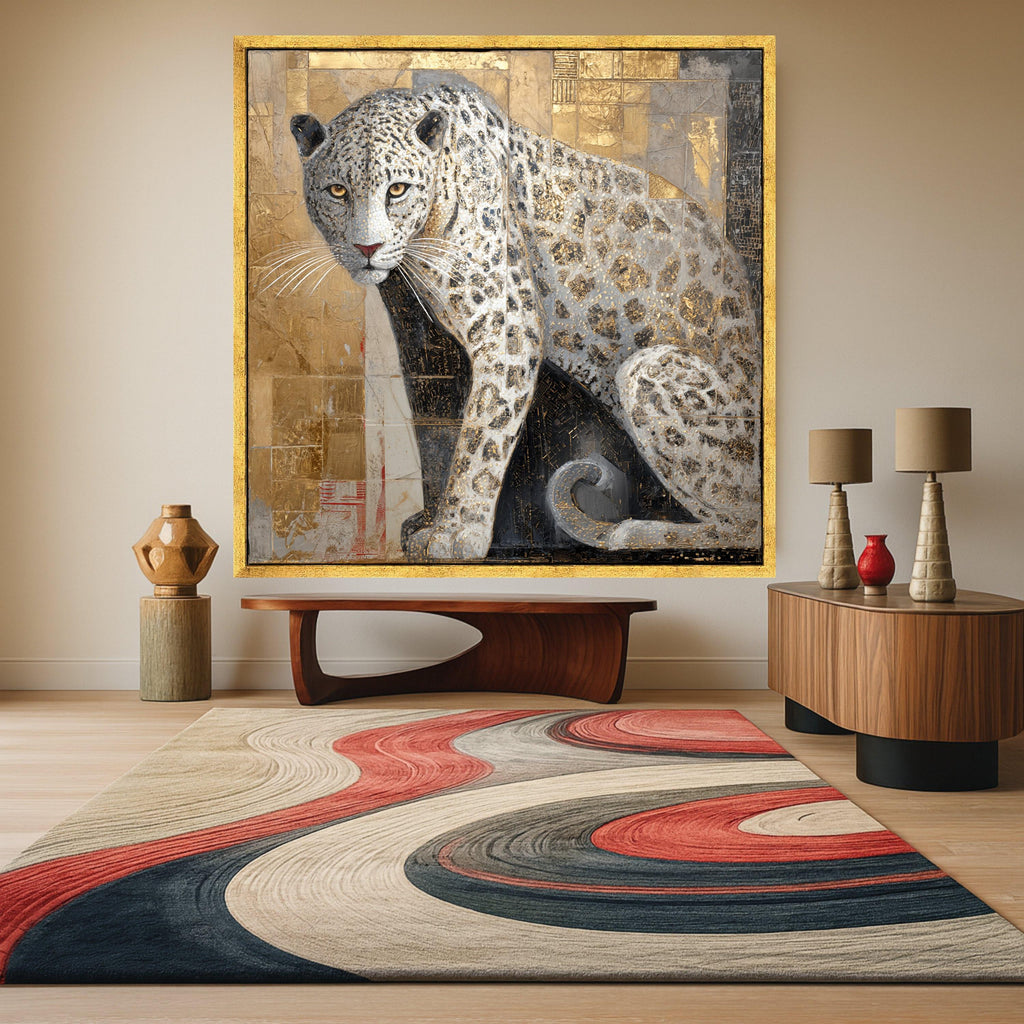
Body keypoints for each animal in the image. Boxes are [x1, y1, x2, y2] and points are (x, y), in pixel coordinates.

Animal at [290, 83, 762, 561]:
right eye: (337, 191)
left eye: (398, 189)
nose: (367, 248)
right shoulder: (420, 338)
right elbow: (435, 428)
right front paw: (429, 523)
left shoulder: (507, 330)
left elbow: (481, 437)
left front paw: (457, 531)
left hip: (648, 368)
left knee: (745, 521)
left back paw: (632, 533)